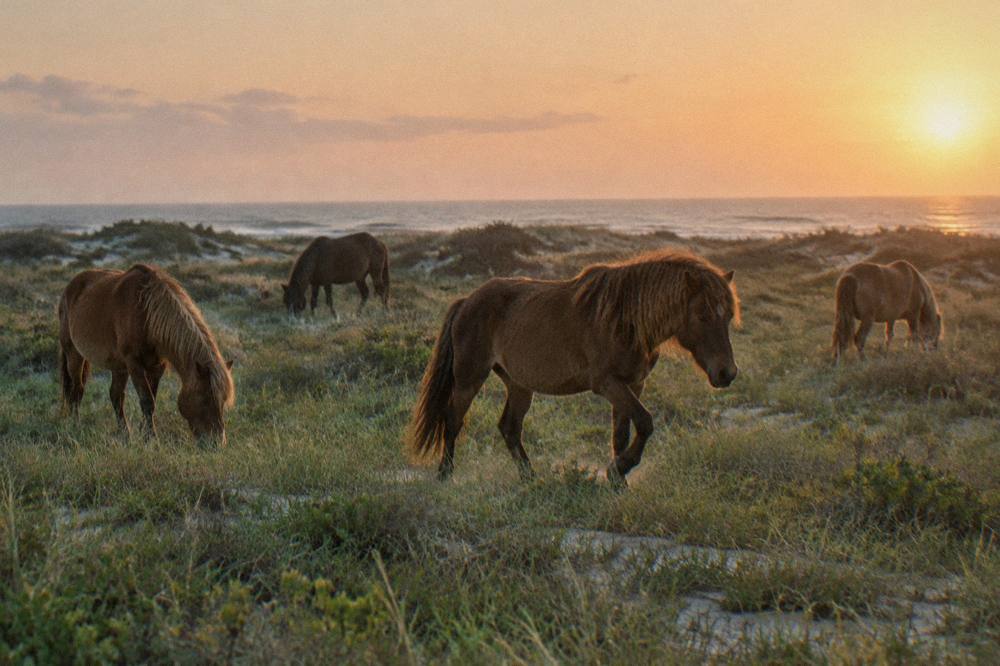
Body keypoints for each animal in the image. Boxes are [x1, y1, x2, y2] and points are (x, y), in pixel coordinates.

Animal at [58, 264, 235, 443]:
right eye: (205, 399)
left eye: (222, 401)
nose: (216, 443)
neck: (146, 315)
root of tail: (69, 287)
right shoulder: (134, 364)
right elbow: (147, 400)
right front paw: (151, 437)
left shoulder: (157, 366)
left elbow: (152, 399)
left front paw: (144, 433)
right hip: (74, 354)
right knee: (77, 389)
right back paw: (75, 425)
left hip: (118, 366)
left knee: (115, 396)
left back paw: (124, 433)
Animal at [407, 250, 739, 486]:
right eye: (702, 315)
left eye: (727, 316)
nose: (727, 373)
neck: (625, 320)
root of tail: (466, 301)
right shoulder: (609, 384)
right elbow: (645, 423)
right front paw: (618, 470)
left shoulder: (633, 384)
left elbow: (620, 435)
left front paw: (619, 482)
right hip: (469, 378)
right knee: (453, 420)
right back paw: (445, 475)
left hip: (518, 384)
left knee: (509, 428)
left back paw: (530, 478)